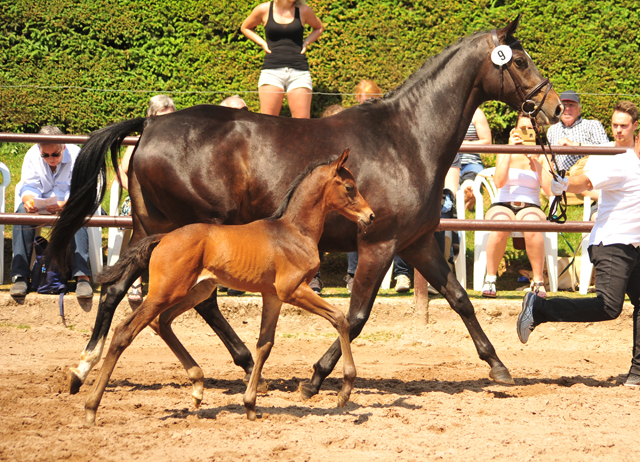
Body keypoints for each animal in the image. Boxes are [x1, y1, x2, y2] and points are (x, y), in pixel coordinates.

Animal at [85, 149, 376, 426]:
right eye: (349, 187)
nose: (370, 216)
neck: (294, 232)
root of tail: (163, 237)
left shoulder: (273, 296)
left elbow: (264, 345)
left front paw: (250, 405)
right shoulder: (293, 290)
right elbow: (339, 318)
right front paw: (345, 391)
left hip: (195, 290)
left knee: (162, 322)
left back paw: (197, 385)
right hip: (165, 292)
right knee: (125, 331)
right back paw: (91, 407)